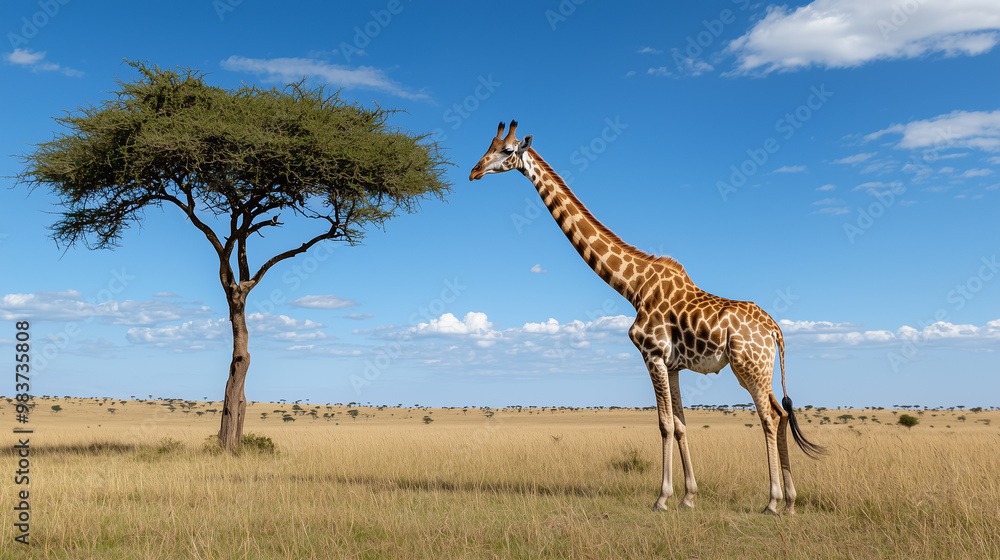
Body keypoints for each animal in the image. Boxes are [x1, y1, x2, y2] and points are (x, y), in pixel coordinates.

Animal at [470, 121, 824, 514]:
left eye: (506, 151)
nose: (474, 171)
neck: (633, 286)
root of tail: (776, 330)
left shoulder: (651, 354)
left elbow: (664, 425)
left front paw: (662, 498)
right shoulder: (673, 365)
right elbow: (681, 424)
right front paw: (688, 497)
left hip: (748, 366)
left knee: (770, 416)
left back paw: (773, 502)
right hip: (761, 369)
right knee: (782, 414)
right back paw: (790, 501)